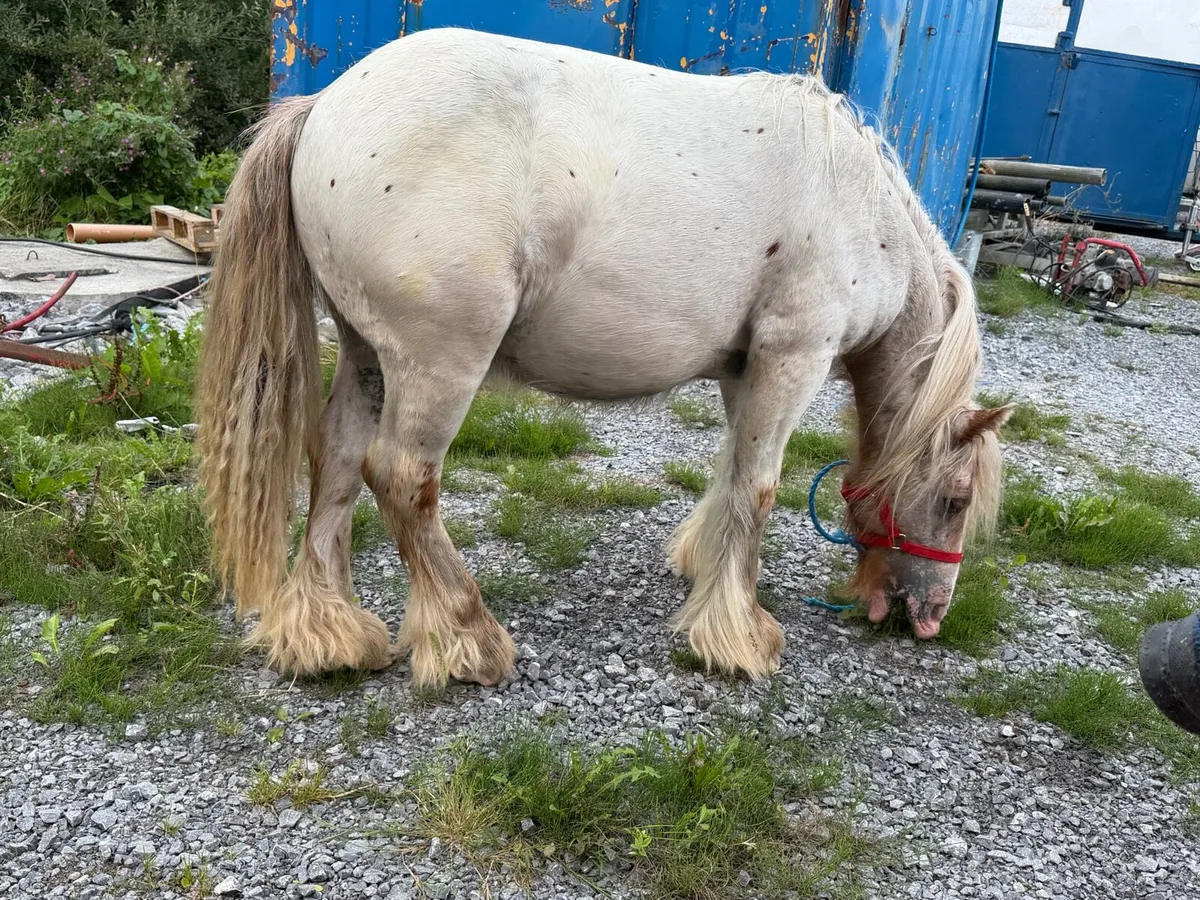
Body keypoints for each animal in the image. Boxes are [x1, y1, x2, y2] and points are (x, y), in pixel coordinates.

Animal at [196, 26, 1011, 690]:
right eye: (957, 499)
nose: (929, 615)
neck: (859, 204)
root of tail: (324, 106)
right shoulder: (793, 357)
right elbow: (758, 490)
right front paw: (738, 636)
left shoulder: (746, 369)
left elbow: (731, 474)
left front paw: (703, 572)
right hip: (438, 361)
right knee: (400, 477)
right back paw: (468, 637)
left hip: (368, 355)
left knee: (335, 461)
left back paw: (327, 633)